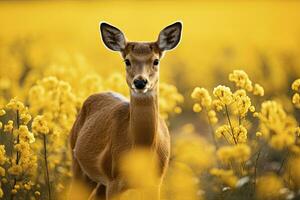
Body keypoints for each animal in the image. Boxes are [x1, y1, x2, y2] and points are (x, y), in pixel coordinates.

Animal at [69, 21, 183, 199]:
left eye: (156, 61)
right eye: (127, 61)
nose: (140, 82)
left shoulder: (155, 183)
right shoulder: (114, 181)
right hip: (77, 162)